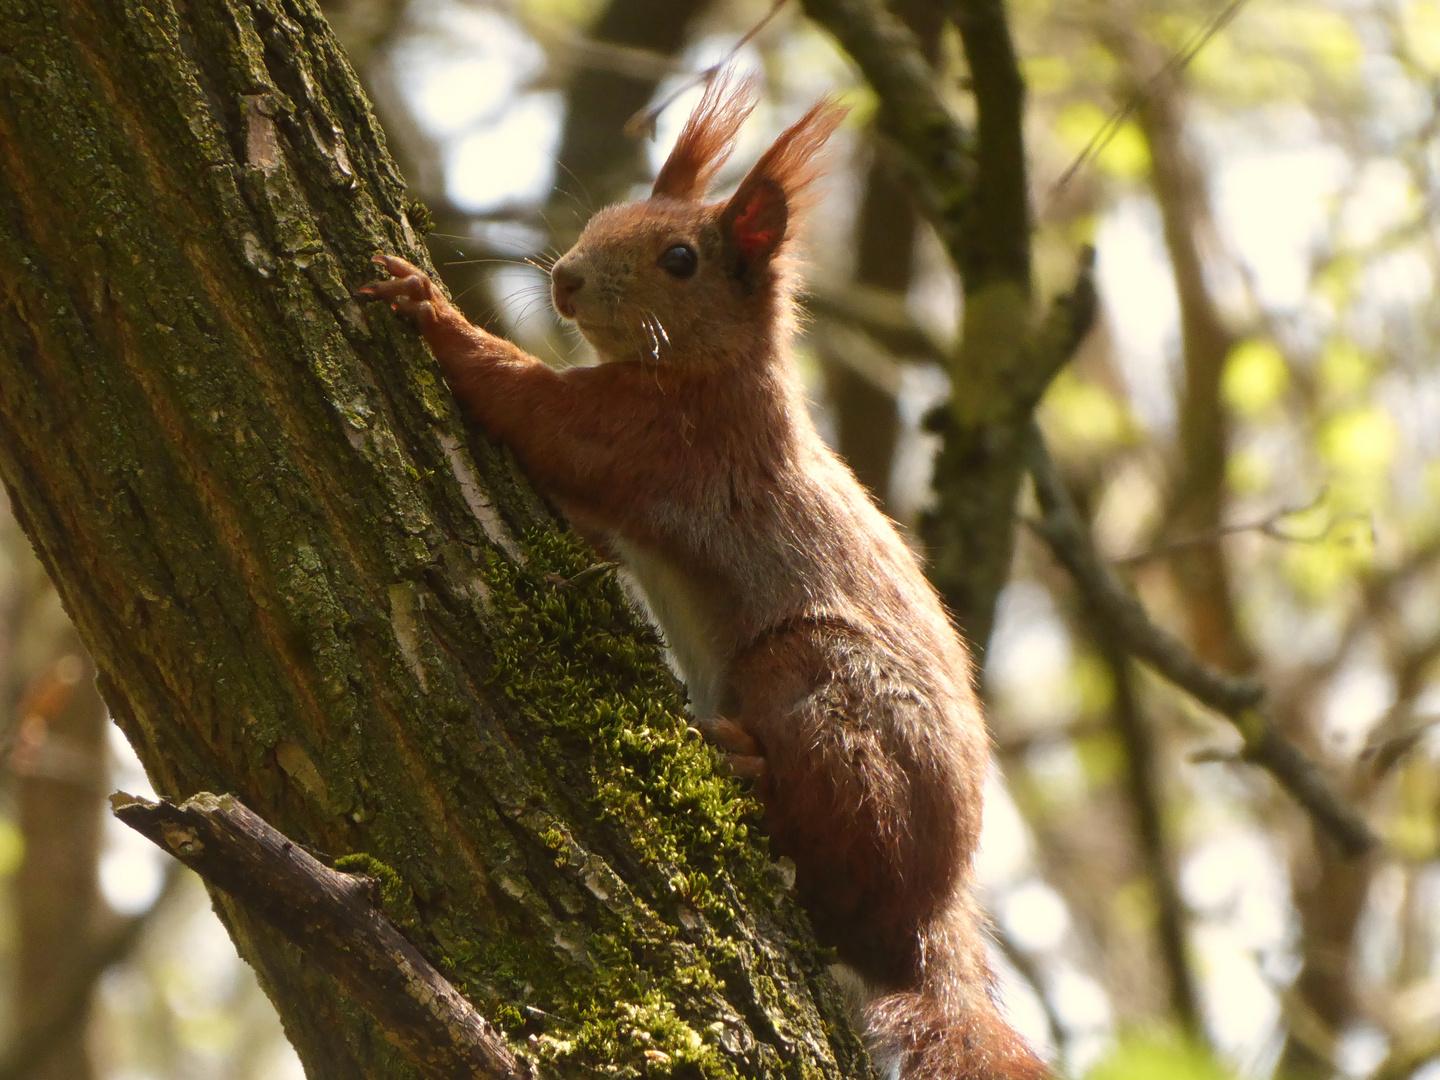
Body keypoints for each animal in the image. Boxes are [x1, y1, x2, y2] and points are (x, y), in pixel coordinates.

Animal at [362, 78, 1048, 1080]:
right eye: (605, 216)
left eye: (680, 259)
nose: (565, 280)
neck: (710, 373)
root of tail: (936, 917)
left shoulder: (661, 442)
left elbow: (534, 408)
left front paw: (428, 307)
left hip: (812, 683)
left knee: (839, 875)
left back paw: (752, 770)